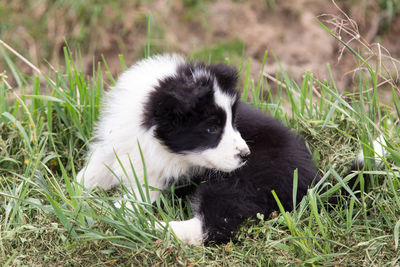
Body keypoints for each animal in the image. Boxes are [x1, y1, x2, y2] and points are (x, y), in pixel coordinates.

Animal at [77, 54, 318, 247]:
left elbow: (134, 199)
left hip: (243, 182)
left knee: (213, 225)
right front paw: (74, 195)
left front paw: (111, 211)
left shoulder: (155, 178)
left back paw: (144, 227)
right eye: (212, 128)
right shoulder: (115, 148)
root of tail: (311, 177)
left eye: (233, 121)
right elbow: (88, 176)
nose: (245, 155)